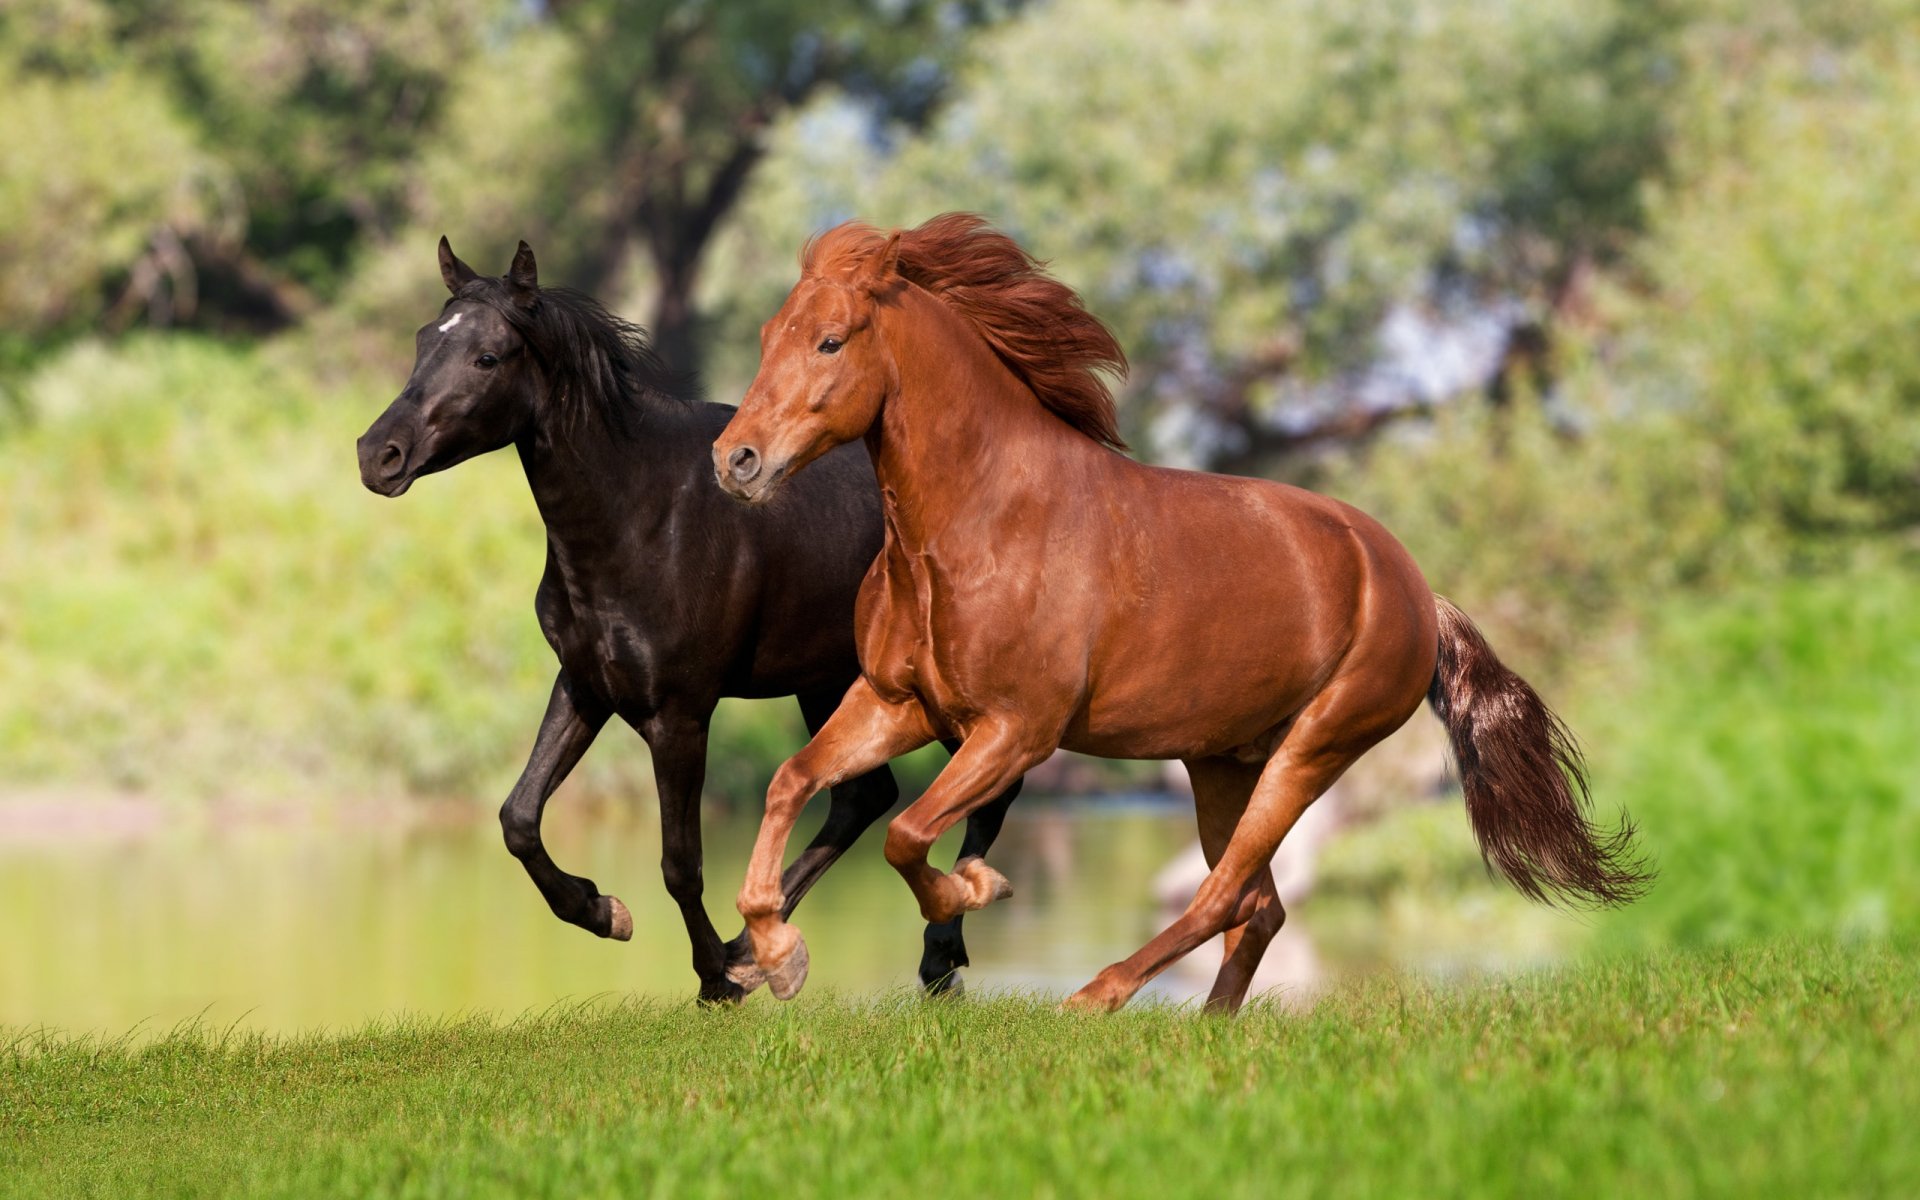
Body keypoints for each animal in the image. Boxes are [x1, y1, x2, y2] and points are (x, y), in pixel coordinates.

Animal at [354, 236, 1021, 1003]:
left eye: (487, 356)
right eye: (422, 340)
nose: (378, 454)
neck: (642, 515)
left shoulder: (679, 713)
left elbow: (680, 861)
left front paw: (713, 979)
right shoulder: (585, 685)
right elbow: (518, 817)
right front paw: (606, 911)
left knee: (987, 787)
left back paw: (932, 953)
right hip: (827, 682)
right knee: (866, 797)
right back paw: (763, 951)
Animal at [710, 213, 1649, 1012]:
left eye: (830, 340)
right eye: (765, 337)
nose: (735, 461)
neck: (978, 525)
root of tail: (1417, 589)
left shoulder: (1016, 729)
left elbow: (906, 835)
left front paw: (977, 887)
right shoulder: (897, 704)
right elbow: (791, 781)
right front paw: (775, 956)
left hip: (1311, 751)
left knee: (1223, 894)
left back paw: (1096, 997)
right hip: (1222, 763)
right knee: (1259, 906)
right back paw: (1208, 1024)